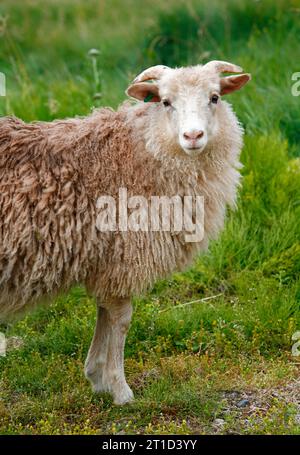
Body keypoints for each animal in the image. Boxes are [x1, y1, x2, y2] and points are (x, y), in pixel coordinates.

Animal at [0, 61, 251, 406]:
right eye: (165, 102)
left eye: (215, 97)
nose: (193, 136)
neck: (141, 152)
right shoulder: (124, 258)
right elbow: (121, 321)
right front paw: (120, 390)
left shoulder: (108, 262)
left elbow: (104, 315)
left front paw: (96, 376)